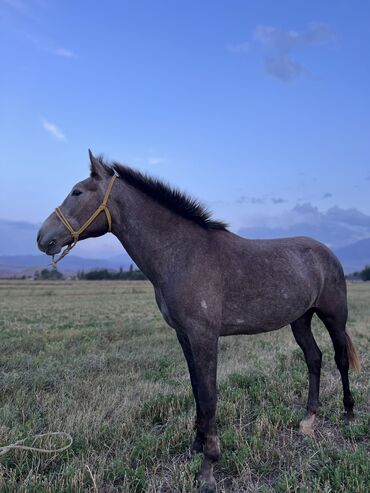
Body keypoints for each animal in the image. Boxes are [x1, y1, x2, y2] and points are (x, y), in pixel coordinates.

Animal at [36, 151, 360, 492]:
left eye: (77, 192)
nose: (43, 238)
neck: (183, 253)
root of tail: (328, 253)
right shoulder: (184, 335)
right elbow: (195, 389)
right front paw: (196, 445)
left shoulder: (204, 336)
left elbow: (208, 395)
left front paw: (208, 466)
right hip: (300, 320)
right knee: (314, 358)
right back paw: (308, 419)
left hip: (334, 317)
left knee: (339, 359)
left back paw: (349, 415)